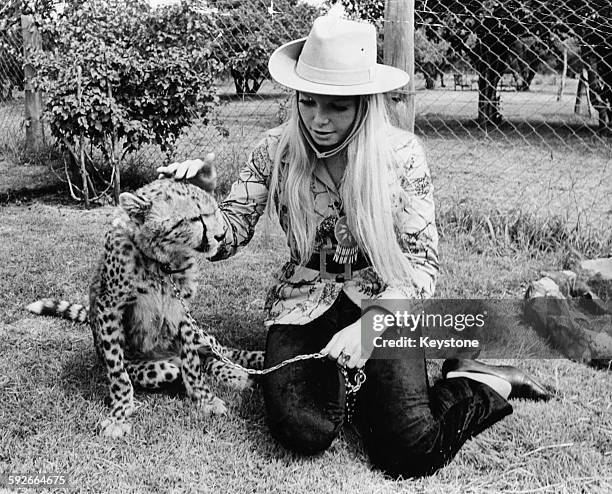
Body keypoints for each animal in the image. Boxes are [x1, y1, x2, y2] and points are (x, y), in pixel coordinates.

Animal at [28, 179, 262, 438]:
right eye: (195, 218)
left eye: (214, 212)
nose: (221, 236)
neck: (161, 261)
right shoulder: (109, 308)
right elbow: (118, 372)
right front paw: (120, 413)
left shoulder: (182, 311)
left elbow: (193, 363)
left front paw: (205, 399)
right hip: (157, 365)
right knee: (179, 368)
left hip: (201, 335)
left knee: (220, 353)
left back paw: (249, 365)